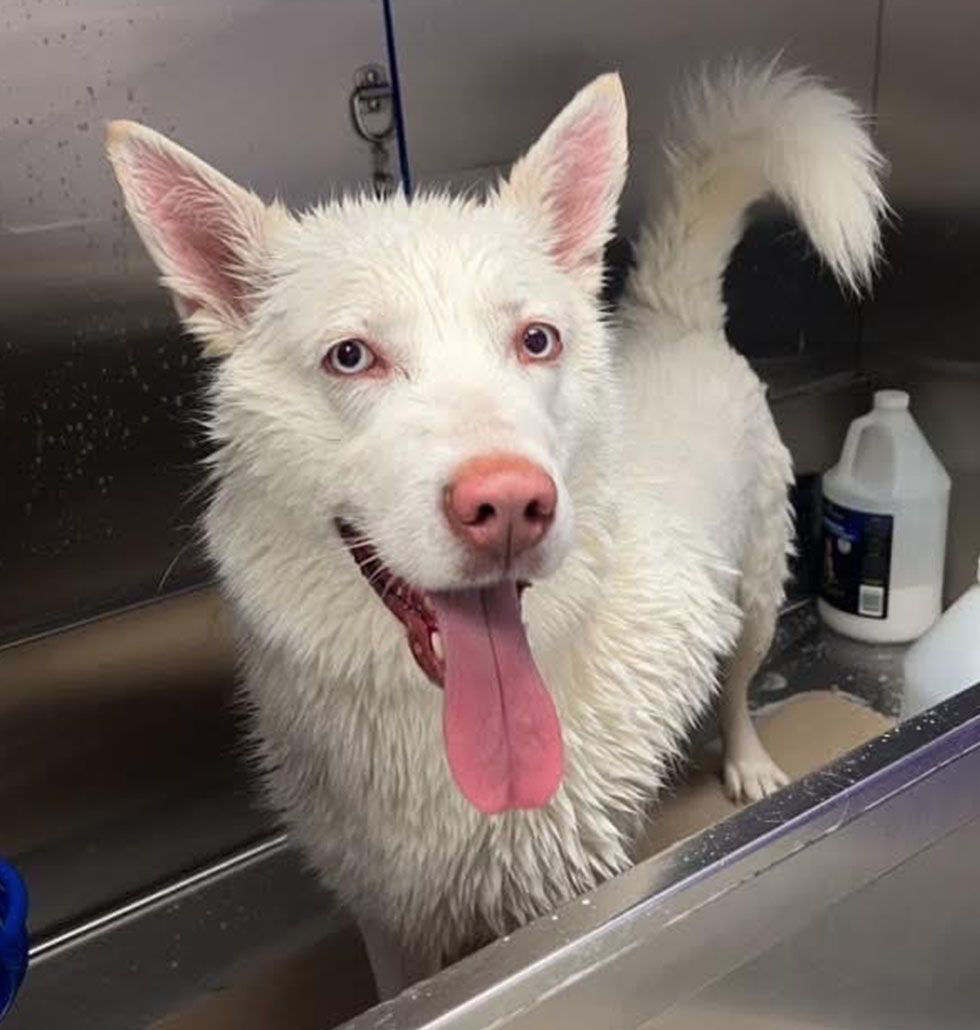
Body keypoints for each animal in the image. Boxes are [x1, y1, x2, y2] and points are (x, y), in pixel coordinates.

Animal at [109, 64, 890, 997]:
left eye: (537, 340)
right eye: (350, 356)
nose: (512, 504)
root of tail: (674, 319)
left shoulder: (566, 891)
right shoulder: (388, 923)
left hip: (760, 587)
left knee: (739, 680)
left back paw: (746, 759)